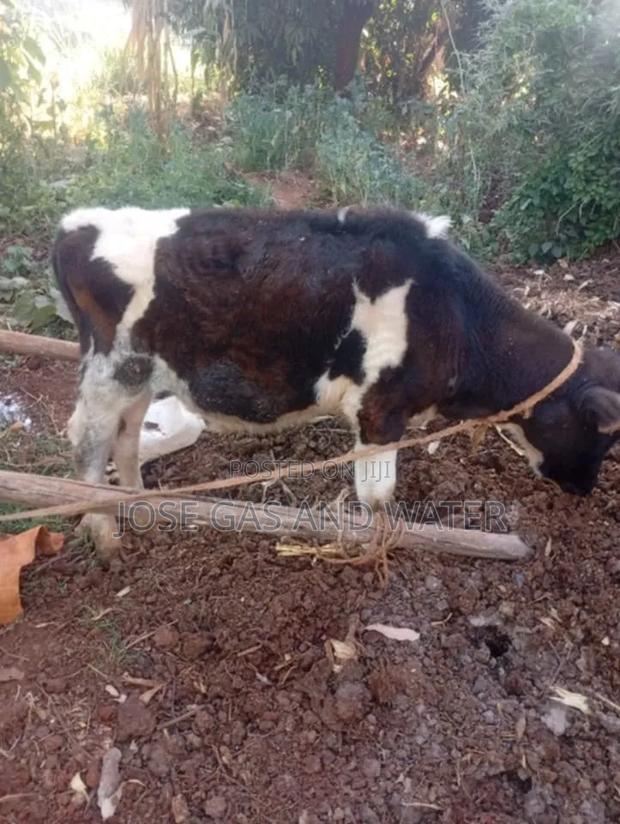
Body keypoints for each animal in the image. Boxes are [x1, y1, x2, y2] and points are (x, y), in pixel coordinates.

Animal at [54, 206, 620, 559]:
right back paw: (105, 534)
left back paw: (138, 503)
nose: (585, 488)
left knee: (127, 437)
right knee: (87, 443)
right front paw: (375, 554)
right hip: (109, 370)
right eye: (602, 433)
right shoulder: (380, 410)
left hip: (140, 373)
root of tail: (75, 225)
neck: (456, 315)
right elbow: (378, 497)